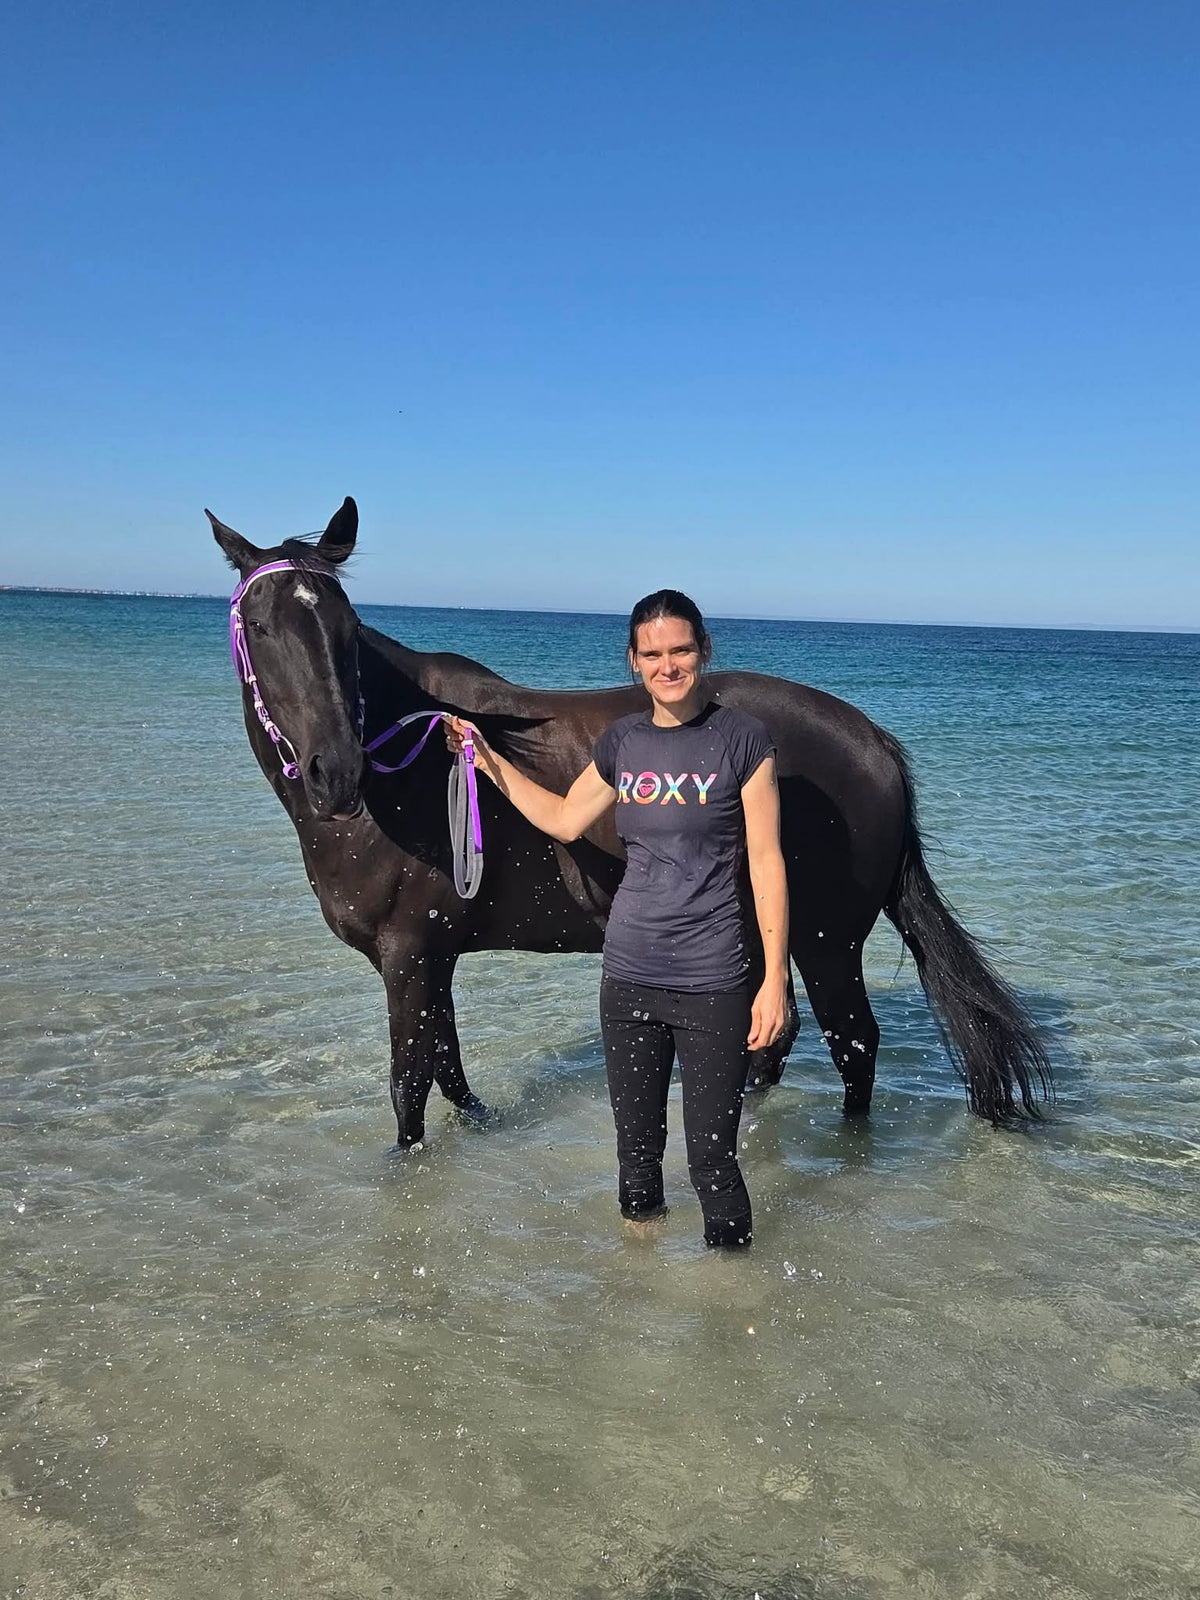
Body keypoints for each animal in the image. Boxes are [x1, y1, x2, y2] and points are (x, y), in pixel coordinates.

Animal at [209, 496, 1052, 1151]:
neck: (405, 773)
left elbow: (408, 1088)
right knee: (772, 1038)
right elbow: (449, 1071)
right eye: (261, 624)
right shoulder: (433, 957)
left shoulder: (408, 957)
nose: (336, 772)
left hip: (825, 939)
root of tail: (873, 741)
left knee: (854, 1044)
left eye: (344, 628)